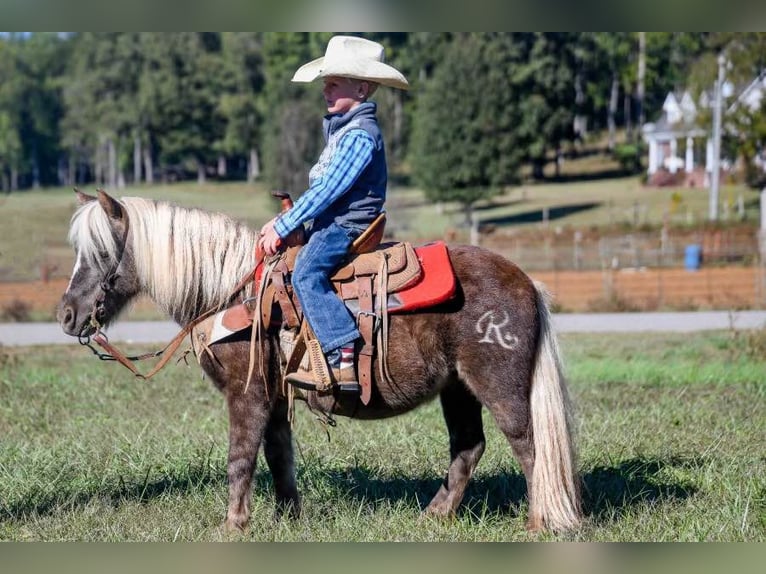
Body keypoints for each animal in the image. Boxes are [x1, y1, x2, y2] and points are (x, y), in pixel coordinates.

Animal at [57, 189, 582, 533]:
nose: (66, 314)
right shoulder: (272, 397)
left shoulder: (246, 394)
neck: (233, 294)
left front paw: (233, 525)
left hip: (498, 386)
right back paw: (434, 516)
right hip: (457, 388)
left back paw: (541, 522)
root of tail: (527, 283)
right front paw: (288, 517)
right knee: (468, 447)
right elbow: (278, 455)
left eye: (100, 252)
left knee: (530, 447)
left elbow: (240, 458)